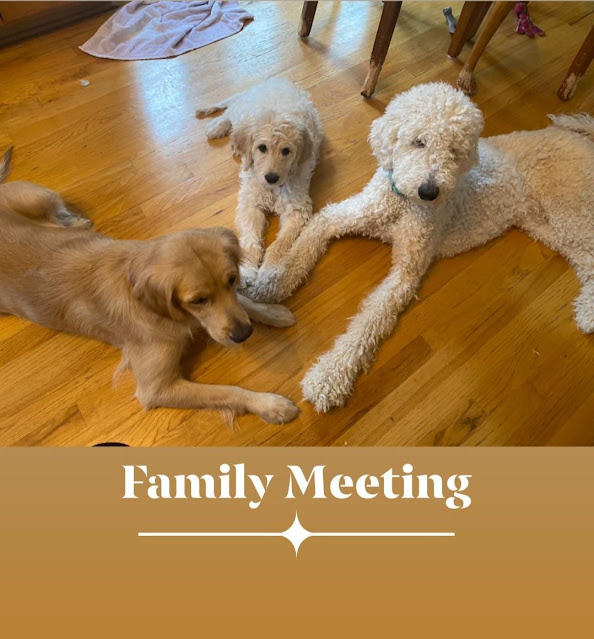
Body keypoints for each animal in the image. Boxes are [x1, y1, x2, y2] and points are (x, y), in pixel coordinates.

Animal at [0, 149, 298, 424]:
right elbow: (228, 391)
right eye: (197, 300)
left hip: (39, 197)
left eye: (232, 280)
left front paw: (270, 312)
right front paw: (269, 404)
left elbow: (243, 302)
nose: (244, 334)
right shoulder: (157, 388)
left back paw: (77, 224)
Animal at [197, 75, 322, 284]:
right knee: (230, 113)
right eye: (262, 148)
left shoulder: (297, 210)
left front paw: (269, 270)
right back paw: (217, 127)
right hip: (242, 111)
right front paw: (247, 269)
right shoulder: (250, 204)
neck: (272, 189)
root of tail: (273, 80)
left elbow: (281, 243)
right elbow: (249, 240)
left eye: (286, 151)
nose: (271, 177)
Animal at [245, 84, 592, 416]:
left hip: (570, 212)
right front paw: (271, 284)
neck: (401, 203)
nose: (429, 191)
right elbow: (302, 248)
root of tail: (576, 136)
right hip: (547, 226)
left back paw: (588, 312)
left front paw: (330, 375)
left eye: (454, 150)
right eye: (418, 142)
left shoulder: (405, 273)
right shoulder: (337, 216)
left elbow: (368, 324)